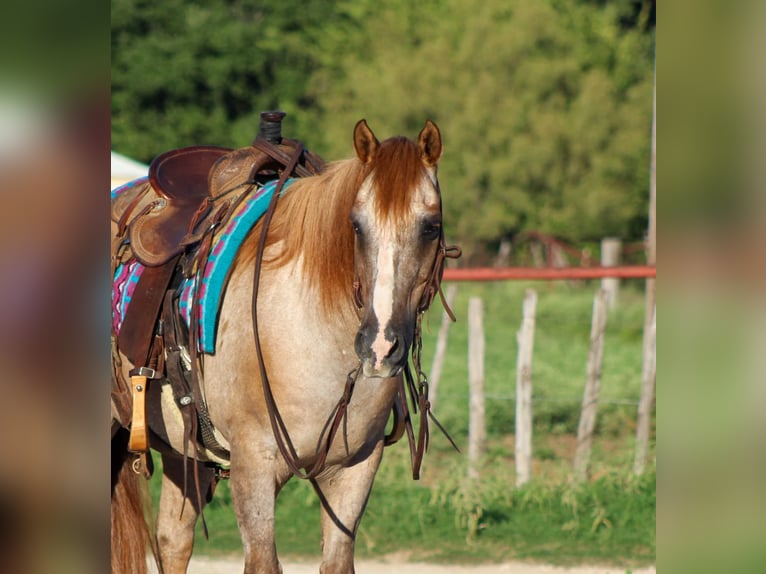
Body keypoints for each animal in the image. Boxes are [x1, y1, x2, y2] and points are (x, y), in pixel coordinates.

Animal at [111, 118, 455, 574]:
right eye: (356, 225)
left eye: (430, 226)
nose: (380, 346)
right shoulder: (254, 466)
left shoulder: (356, 470)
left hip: (183, 453)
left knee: (172, 540)